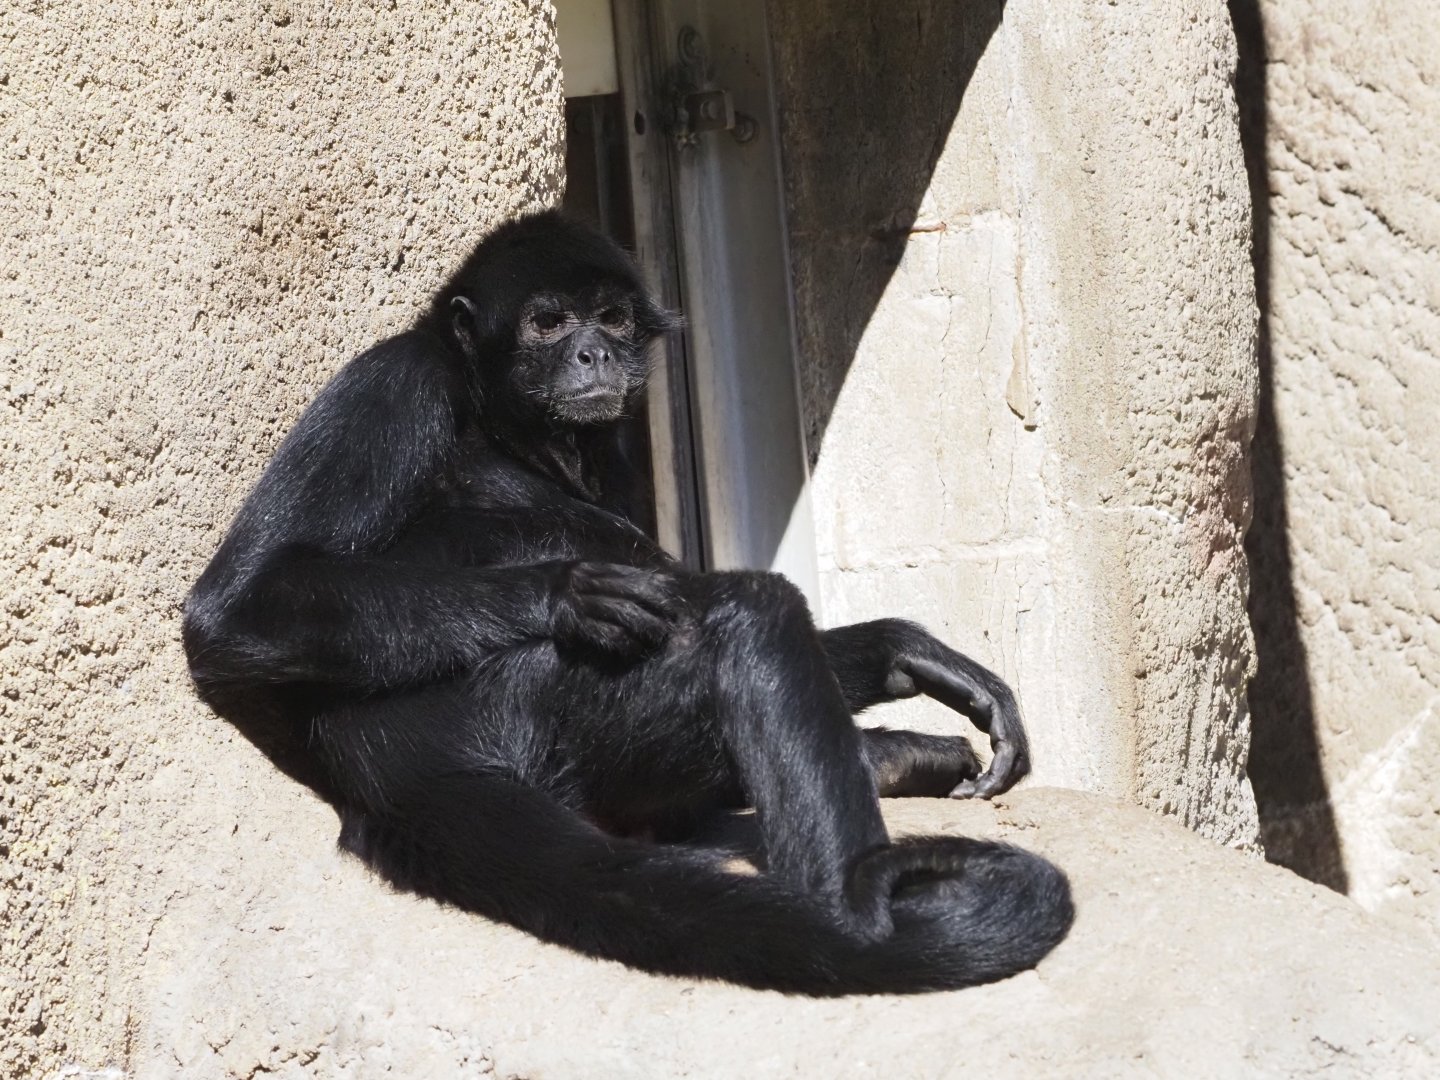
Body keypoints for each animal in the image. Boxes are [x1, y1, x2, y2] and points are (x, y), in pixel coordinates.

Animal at [182, 210, 1073, 995]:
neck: (499, 426)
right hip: (543, 708)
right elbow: (233, 609)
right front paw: (568, 591)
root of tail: (401, 766)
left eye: (610, 316)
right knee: (752, 606)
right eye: (546, 323)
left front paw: (900, 649)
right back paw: (860, 910)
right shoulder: (399, 381)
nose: (592, 351)